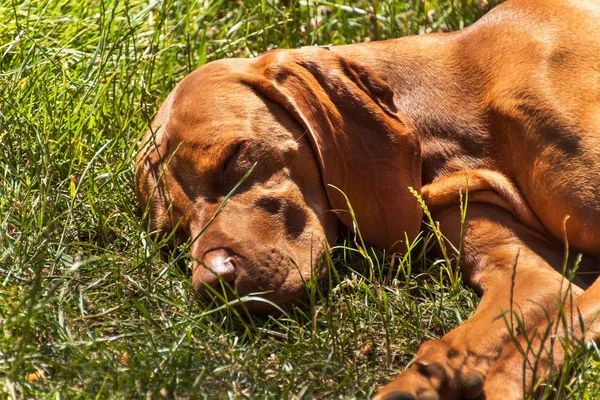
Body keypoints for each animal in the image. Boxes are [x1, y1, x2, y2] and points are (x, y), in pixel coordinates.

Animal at [135, 0, 600, 396]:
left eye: (232, 160)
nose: (212, 285)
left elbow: (555, 331)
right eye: (174, 235)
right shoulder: (529, 274)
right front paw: (417, 384)